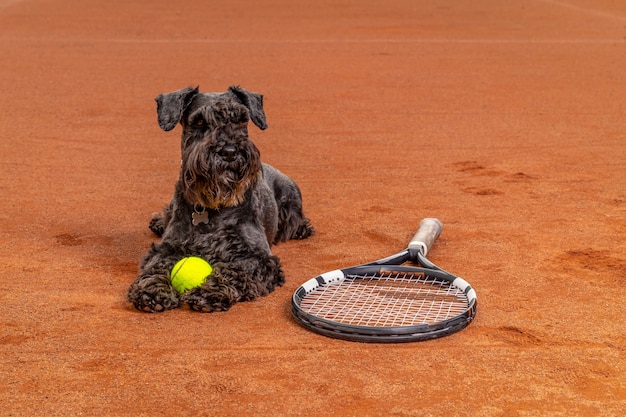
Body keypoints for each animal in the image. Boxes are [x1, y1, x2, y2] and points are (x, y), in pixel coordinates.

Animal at [127, 85, 312, 312]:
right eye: (199, 122)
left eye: (241, 120)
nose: (229, 152)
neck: (211, 207)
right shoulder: (168, 248)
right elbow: (156, 266)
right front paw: (152, 290)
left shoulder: (258, 257)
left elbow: (235, 271)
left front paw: (210, 291)